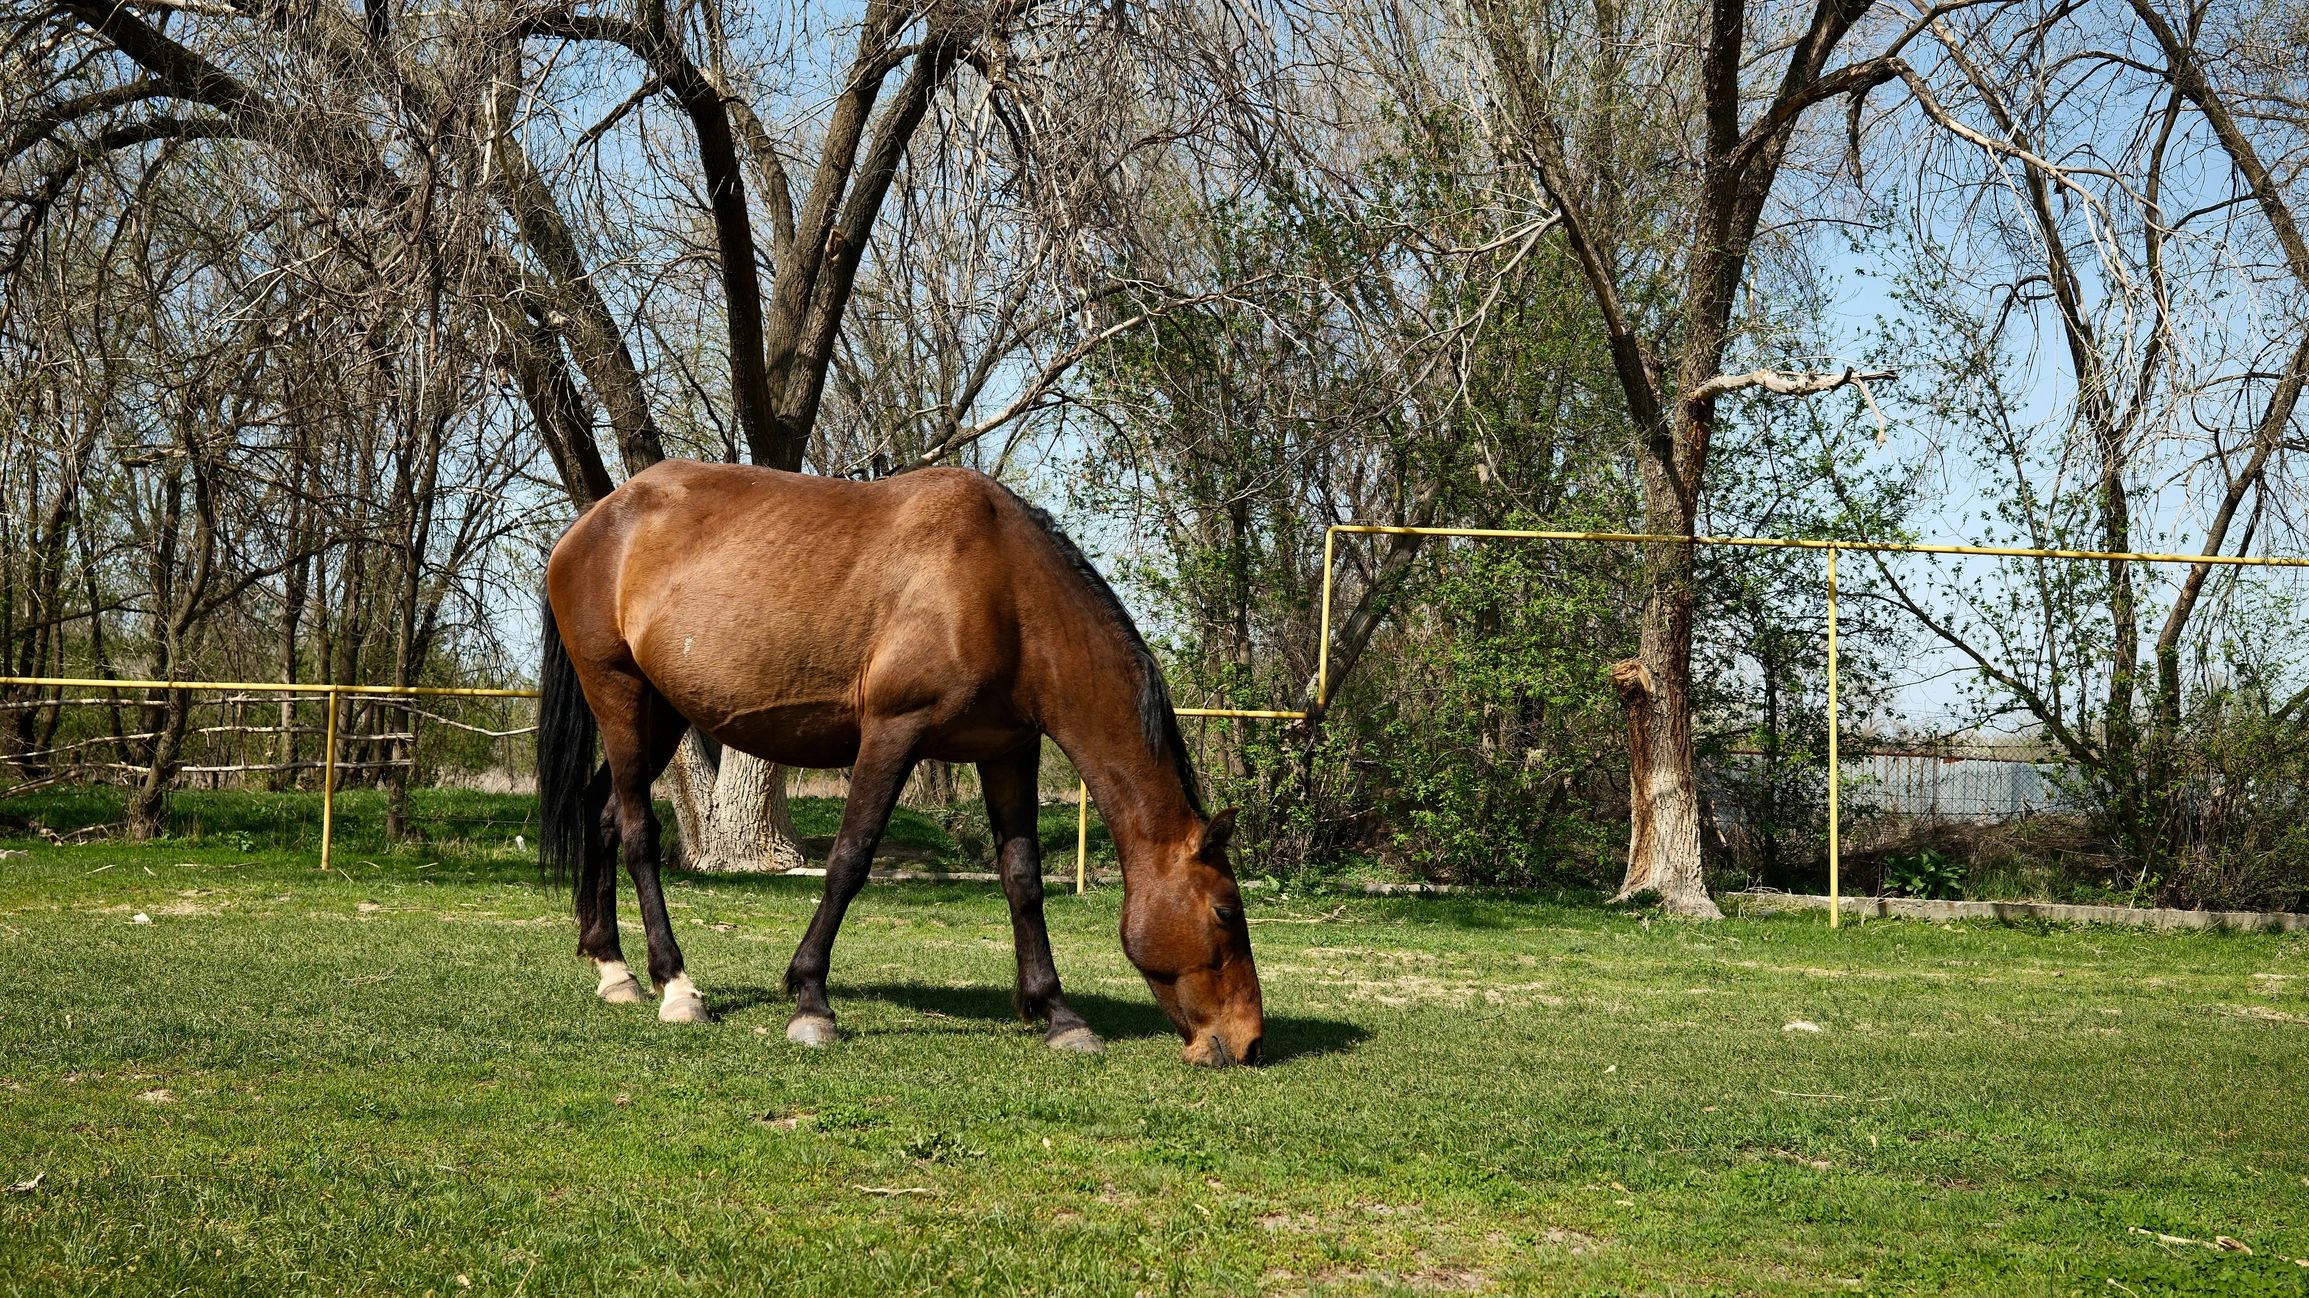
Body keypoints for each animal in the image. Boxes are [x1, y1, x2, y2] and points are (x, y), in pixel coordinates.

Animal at [535, 460, 1264, 1067]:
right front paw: (811, 1000)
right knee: (638, 833)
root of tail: (593, 523)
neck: (1004, 589)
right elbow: (849, 861)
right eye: (1226, 911)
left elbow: (1022, 879)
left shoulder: (1007, 751)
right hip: (620, 696)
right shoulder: (893, 733)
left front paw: (1056, 1012)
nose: (1249, 1041)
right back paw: (675, 985)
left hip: (660, 714)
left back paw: (613, 968)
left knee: (603, 815)